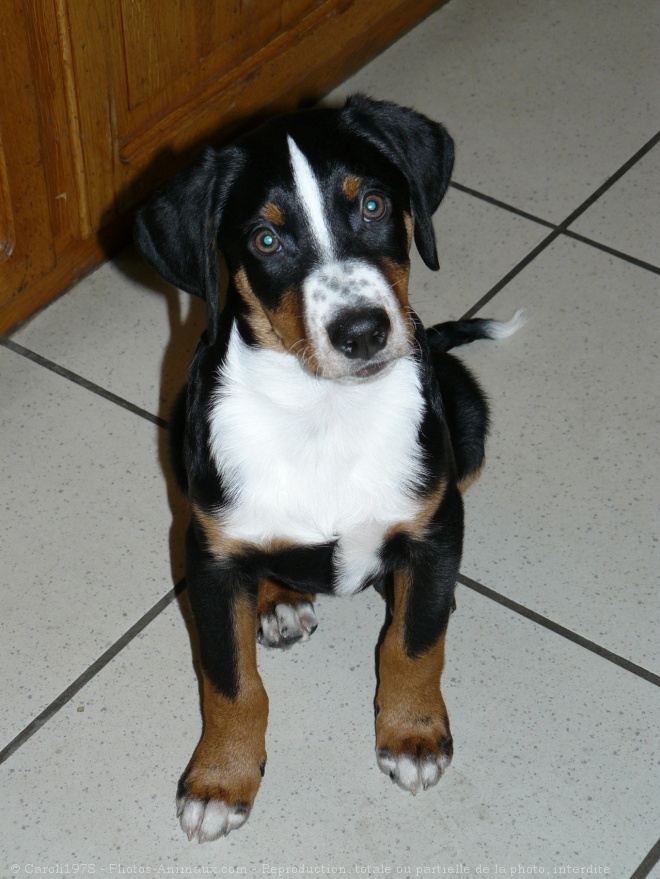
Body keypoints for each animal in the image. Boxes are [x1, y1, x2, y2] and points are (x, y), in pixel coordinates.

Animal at [135, 96, 524, 844]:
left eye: (372, 204)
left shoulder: (434, 523)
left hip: (468, 417)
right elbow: (230, 682)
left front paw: (412, 735)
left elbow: (413, 643)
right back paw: (278, 600)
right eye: (265, 240)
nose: (363, 330)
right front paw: (220, 779)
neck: (324, 415)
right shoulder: (208, 554)